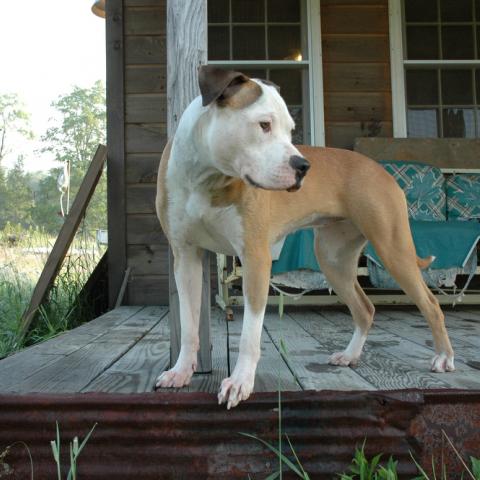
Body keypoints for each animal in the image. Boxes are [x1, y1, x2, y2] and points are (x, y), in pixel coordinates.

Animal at [156, 66, 456, 408]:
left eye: (290, 130)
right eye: (264, 125)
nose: (303, 166)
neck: (207, 176)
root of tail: (380, 169)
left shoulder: (255, 259)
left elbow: (249, 334)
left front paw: (241, 382)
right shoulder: (185, 257)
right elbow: (188, 324)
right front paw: (181, 371)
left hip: (393, 250)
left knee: (430, 304)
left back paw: (444, 357)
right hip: (334, 260)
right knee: (365, 308)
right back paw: (350, 355)